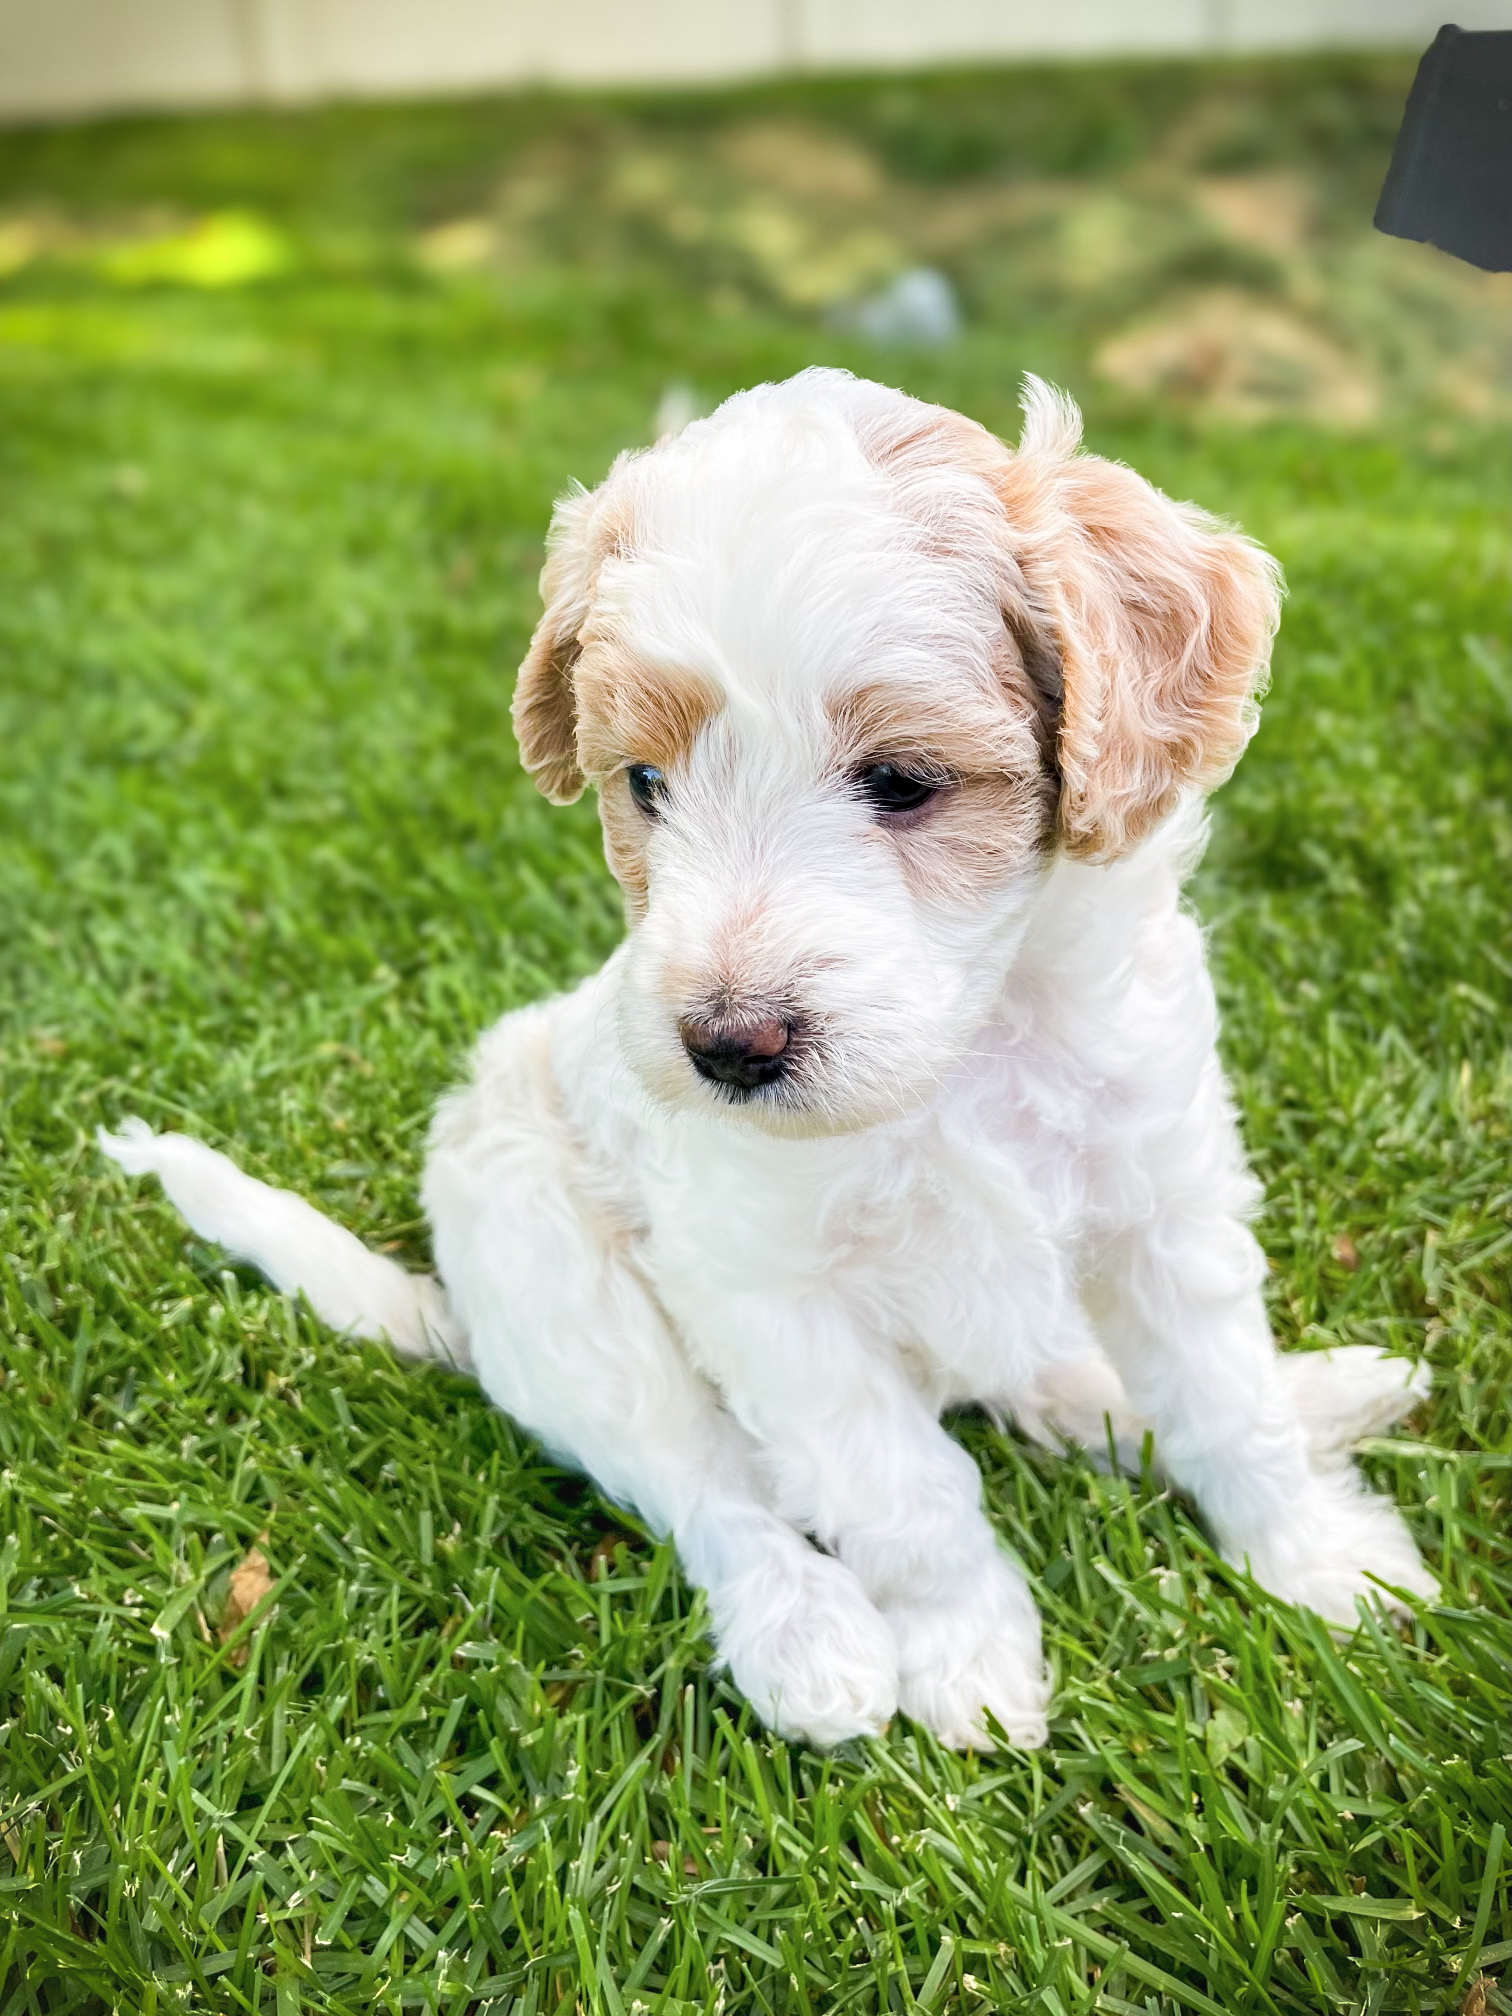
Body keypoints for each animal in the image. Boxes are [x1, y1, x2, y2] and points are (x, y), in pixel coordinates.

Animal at [103, 374, 1435, 1749]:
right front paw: (967, 1658)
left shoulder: (1166, 1204)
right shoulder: (772, 1295)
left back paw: (1323, 1394)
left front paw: (1315, 1555)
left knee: (1065, 1384)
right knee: (710, 1490)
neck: (972, 1052)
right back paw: (807, 1639)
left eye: (901, 780)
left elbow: (1226, 1403)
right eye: (645, 783)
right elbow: (903, 1490)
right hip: (557, 1278)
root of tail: (464, 1311)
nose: (724, 1047)